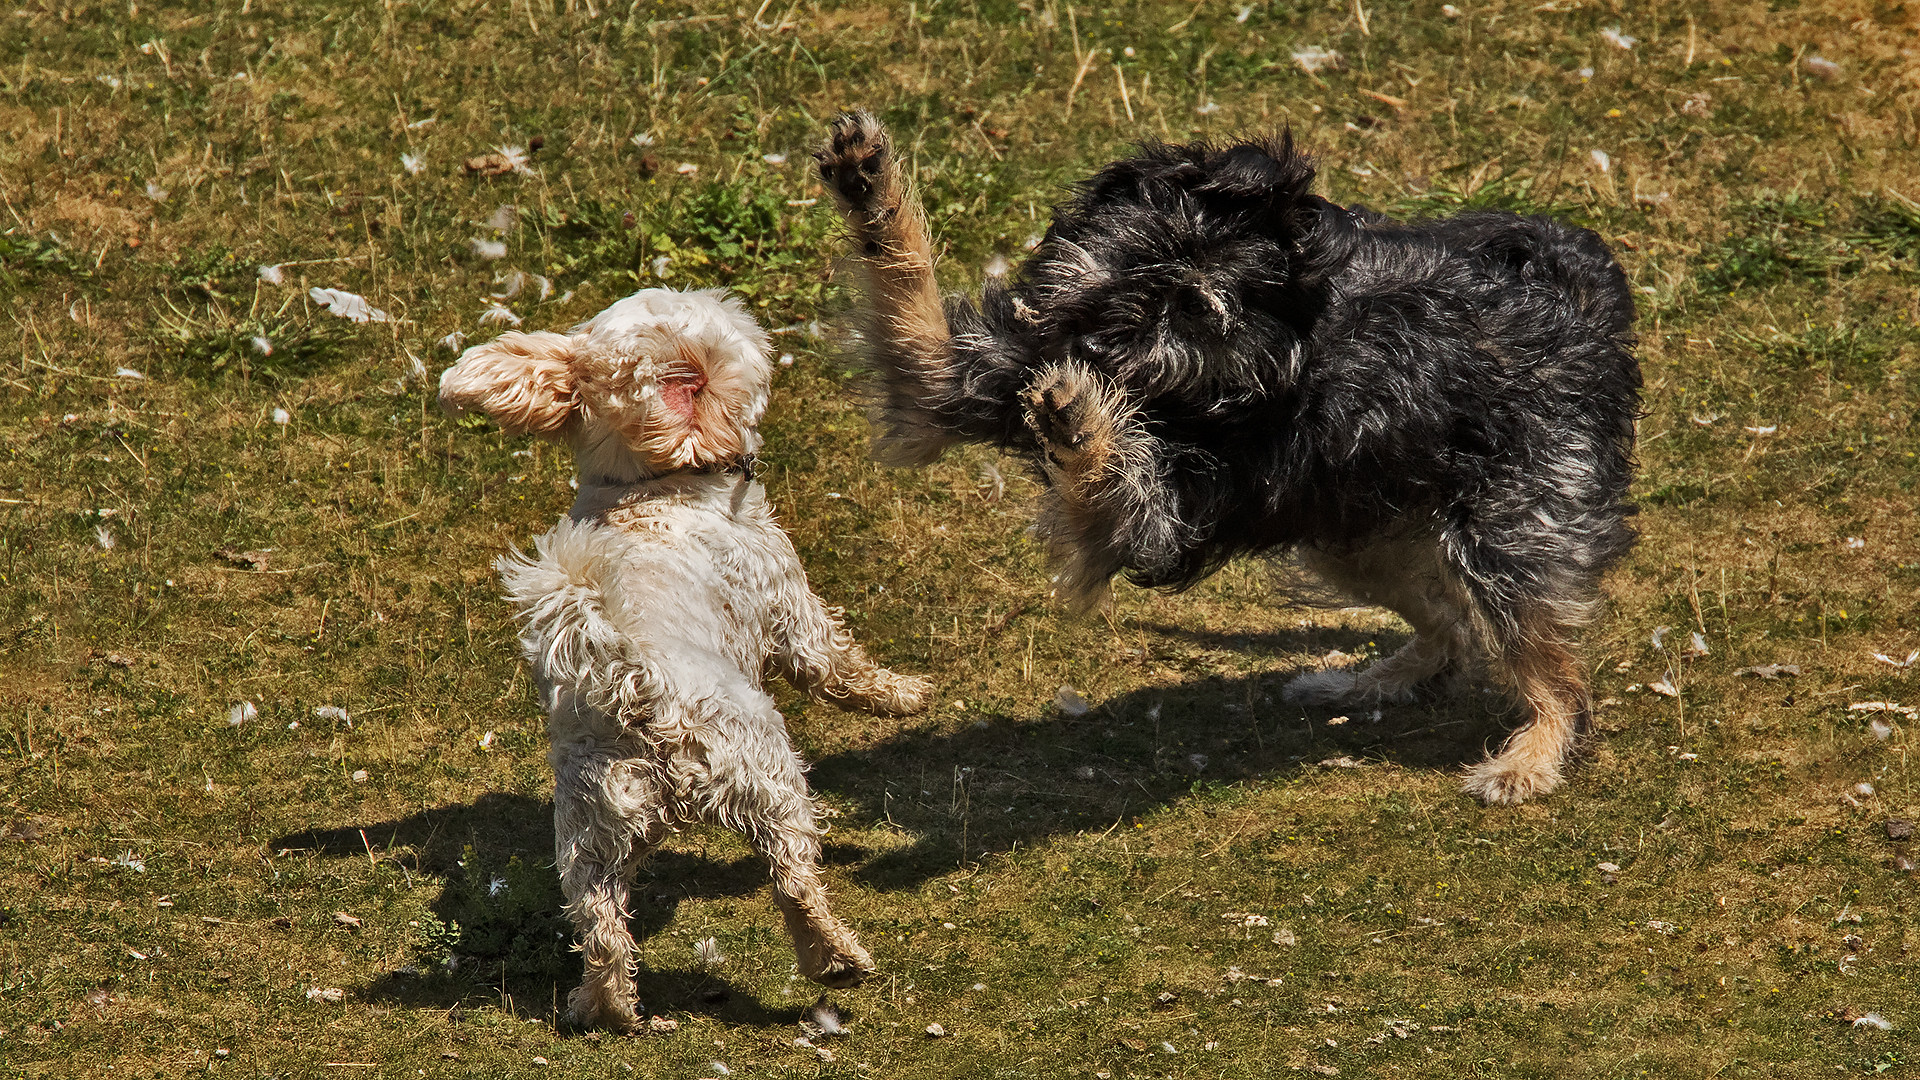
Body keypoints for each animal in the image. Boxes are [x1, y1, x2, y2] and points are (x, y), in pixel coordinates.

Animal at [443, 286, 936, 1022]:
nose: (738, 304)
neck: (644, 485)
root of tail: (634, 683)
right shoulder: (789, 603)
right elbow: (837, 666)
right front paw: (906, 694)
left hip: (591, 827)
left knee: (600, 923)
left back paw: (605, 1006)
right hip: (765, 770)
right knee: (793, 876)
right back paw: (836, 959)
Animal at [817, 113, 1643, 799]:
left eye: (1206, 311)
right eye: (1142, 248)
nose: (1158, 301)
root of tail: (1583, 311)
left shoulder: (1141, 522)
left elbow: (1107, 469)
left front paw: (1083, 419)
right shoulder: (945, 383)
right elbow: (905, 280)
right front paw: (867, 183)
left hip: (1510, 534)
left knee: (1553, 672)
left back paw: (1532, 755)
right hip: (1351, 539)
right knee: (1452, 625)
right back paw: (1373, 684)